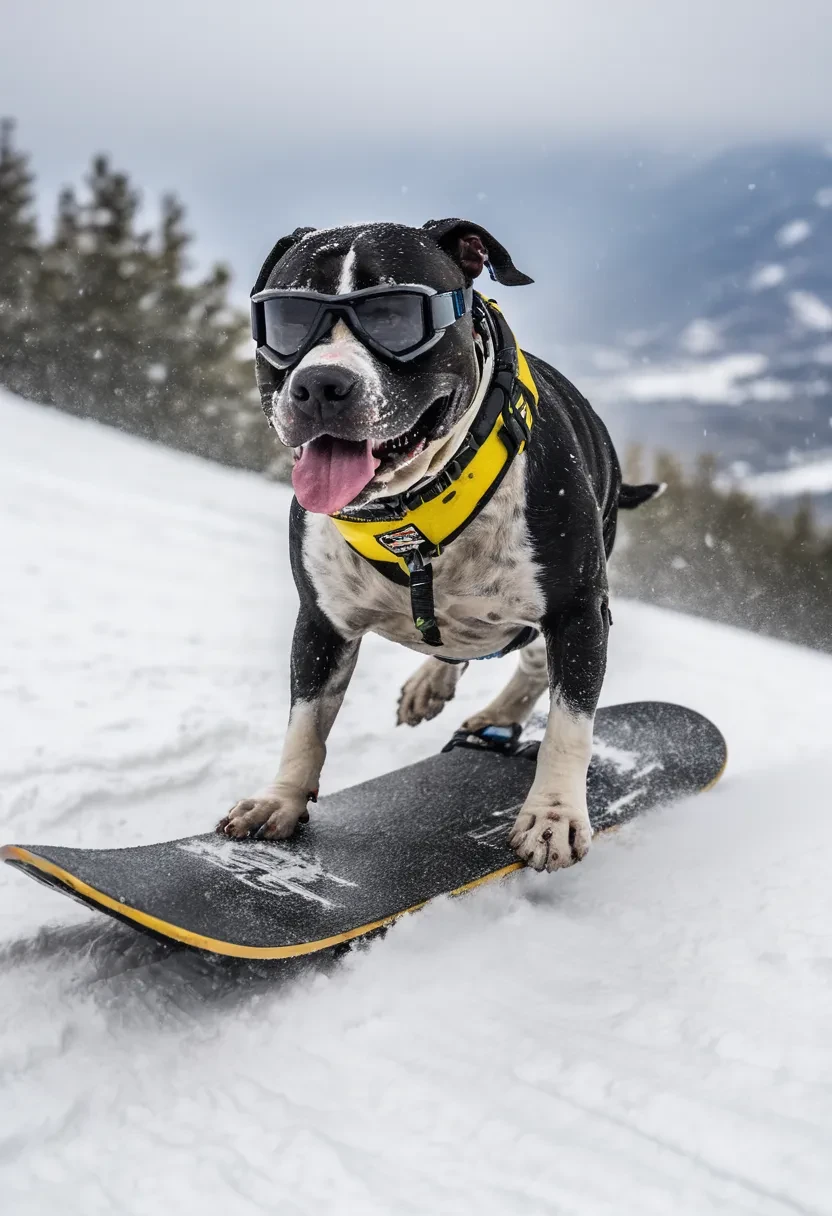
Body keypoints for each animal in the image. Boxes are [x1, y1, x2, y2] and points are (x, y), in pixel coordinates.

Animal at [217, 223, 661, 875]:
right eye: (288, 319)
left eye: (394, 315)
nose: (320, 383)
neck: (417, 510)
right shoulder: (322, 621)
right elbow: (306, 722)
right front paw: (281, 800)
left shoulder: (577, 611)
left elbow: (570, 725)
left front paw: (553, 816)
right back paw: (436, 683)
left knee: (531, 661)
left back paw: (498, 718)